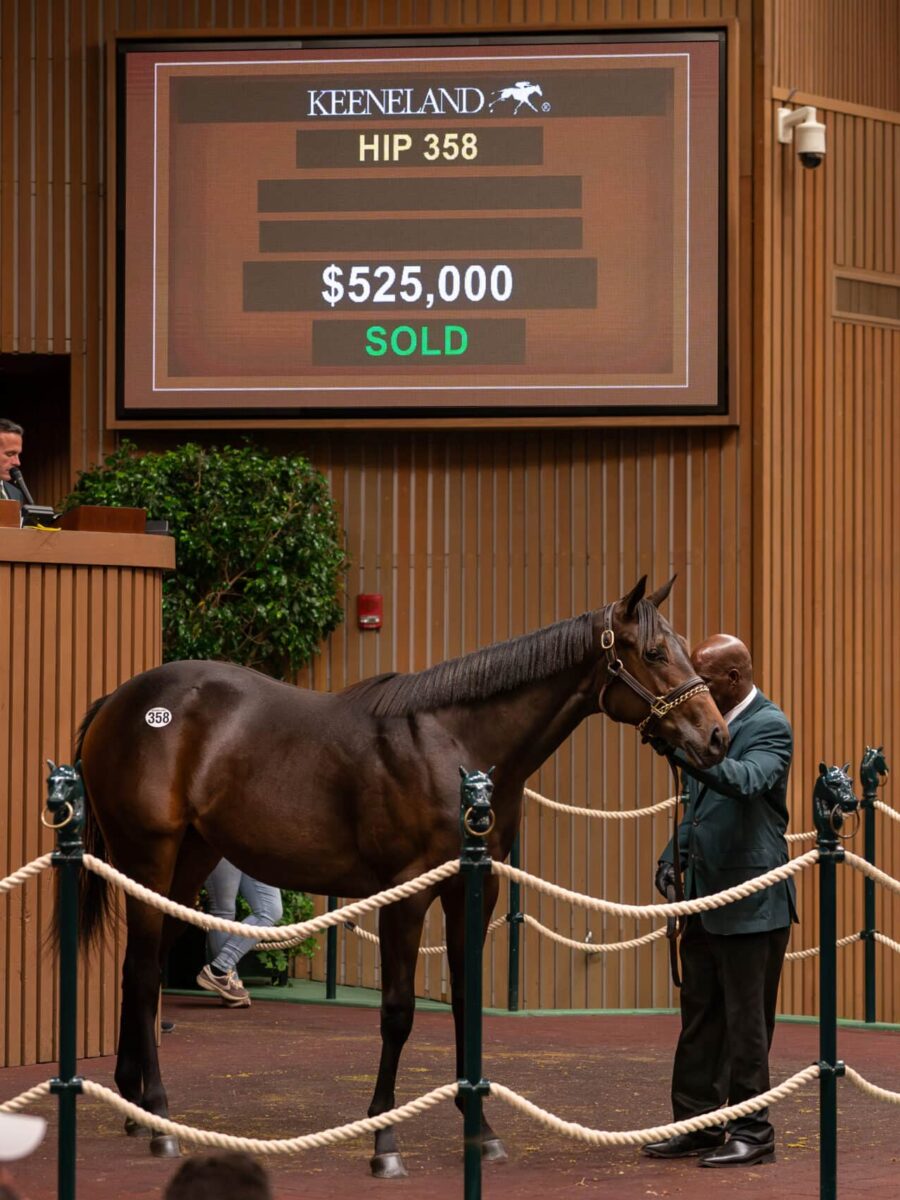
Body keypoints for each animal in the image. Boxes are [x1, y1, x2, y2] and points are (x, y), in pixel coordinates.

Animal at [74, 573, 729, 1171]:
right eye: (653, 653)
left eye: (682, 647)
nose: (716, 736)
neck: (455, 745)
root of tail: (118, 701)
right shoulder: (404, 896)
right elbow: (397, 1012)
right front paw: (383, 1139)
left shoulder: (474, 889)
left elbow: (466, 1003)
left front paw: (481, 1131)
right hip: (148, 858)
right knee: (142, 974)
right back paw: (159, 1118)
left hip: (188, 862)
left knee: (141, 971)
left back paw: (137, 1107)